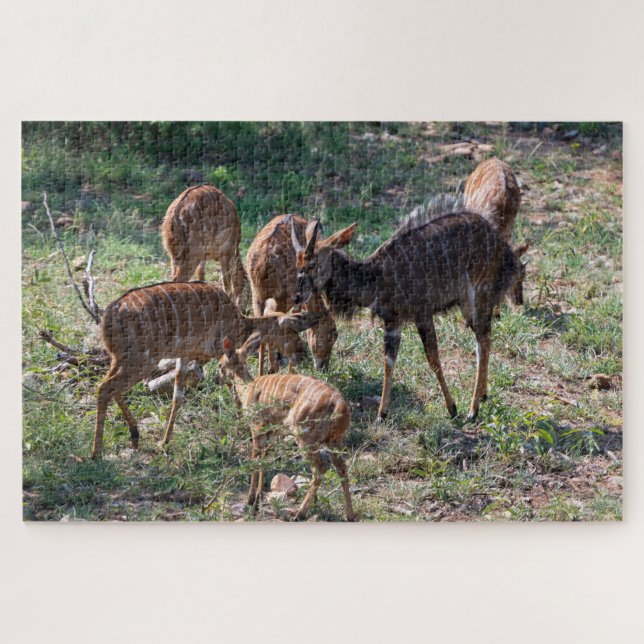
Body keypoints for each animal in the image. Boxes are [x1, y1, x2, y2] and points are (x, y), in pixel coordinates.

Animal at [92, 281, 319, 459]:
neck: (239, 324)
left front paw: (164, 441)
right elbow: (233, 387)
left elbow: (177, 396)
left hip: (121, 359)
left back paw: (134, 436)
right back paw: (97, 452)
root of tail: (108, 316)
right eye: (291, 330)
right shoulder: (221, 350)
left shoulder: (184, 356)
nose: (300, 354)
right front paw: (244, 427)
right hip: (141, 359)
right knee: (105, 387)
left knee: (109, 386)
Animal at [218, 337, 355, 521]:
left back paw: (299, 513)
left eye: (220, 364)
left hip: (305, 437)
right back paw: (350, 515)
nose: (216, 379)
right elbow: (264, 461)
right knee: (342, 468)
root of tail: (340, 407)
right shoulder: (271, 432)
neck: (247, 388)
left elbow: (255, 460)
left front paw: (250, 500)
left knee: (320, 468)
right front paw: (258, 499)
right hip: (335, 441)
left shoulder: (257, 427)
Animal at [246, 214, 338, 374]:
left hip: (256, 295)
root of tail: (262, 264)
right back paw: (274, 367)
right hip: (281, 298)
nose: (323, 367)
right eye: (333, 334)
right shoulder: (295, 299)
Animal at [291, 212, 522, 422]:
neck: (376, 278)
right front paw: (381, 414)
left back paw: (473, 410)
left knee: (482, 338)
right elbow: (389, 361)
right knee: (483, 337)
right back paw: (482, 396)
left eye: (312, 264)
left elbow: (433, 358)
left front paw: (452, 408)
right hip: (467, 303)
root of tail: (500, 243)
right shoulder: (393, 322)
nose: (297, 296)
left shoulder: (422, 314)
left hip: (478, 294)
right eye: (297, 264)